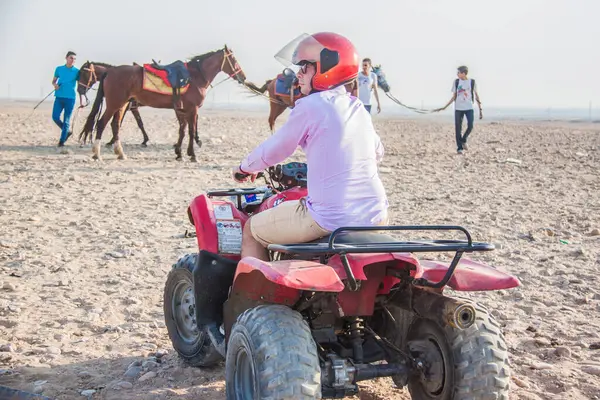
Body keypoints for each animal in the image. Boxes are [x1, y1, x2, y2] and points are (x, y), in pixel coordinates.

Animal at [81, 45, 245, 161]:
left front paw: (179, 153)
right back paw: (97, 154)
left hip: (121, 105)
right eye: (234, 60)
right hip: (115, 104)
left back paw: (120, 153)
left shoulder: (181, 109)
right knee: (101, 123)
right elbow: (190, 130)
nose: (242, 77)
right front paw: (192, 154)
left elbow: (182, 130)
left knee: (115, 125)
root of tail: (111, 71)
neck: (195, 77)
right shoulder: (192, 109)